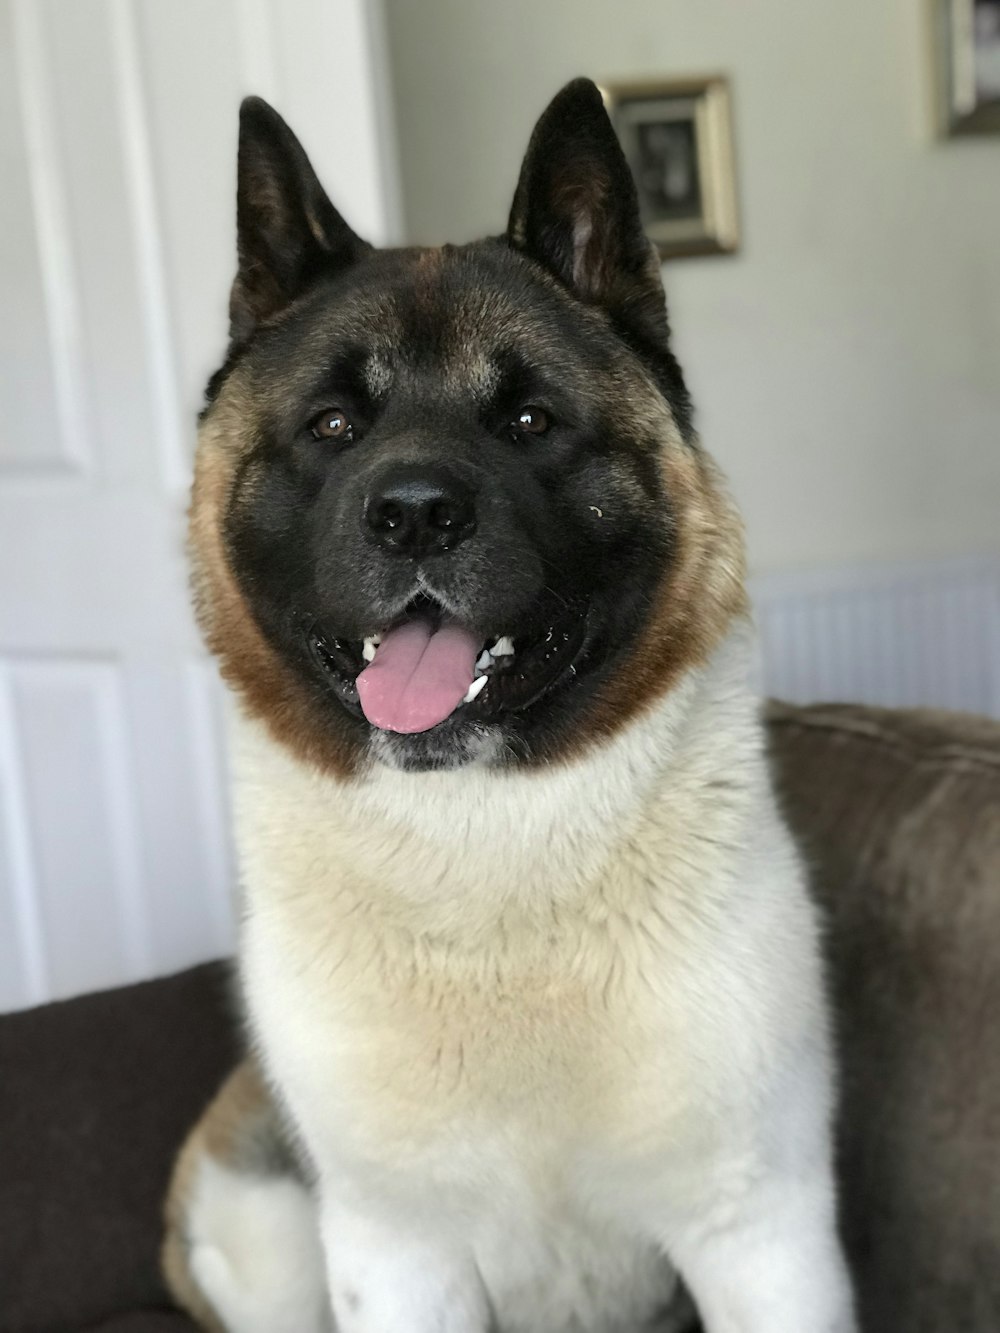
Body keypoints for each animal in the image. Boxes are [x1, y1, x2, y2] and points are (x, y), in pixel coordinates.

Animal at [162, 80, 853, 1333]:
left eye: (527, 421)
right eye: (333, 426)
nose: (415, 515)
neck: (485, 860)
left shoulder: (761, 1234)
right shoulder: (398, 1253)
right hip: (273, 1239)